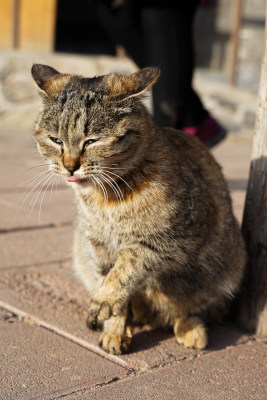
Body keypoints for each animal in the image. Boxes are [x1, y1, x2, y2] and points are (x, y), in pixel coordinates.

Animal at [31, 64, 247, 354]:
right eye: (55, 140)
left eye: (91, 141)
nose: (69, 166)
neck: (107, 200)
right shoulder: (97, 247)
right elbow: (115, 288)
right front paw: (114, 330)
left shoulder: (176, 237)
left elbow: (129, 262)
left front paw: (106, 302)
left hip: (226, 269)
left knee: (194, 308)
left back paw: (191, 329)